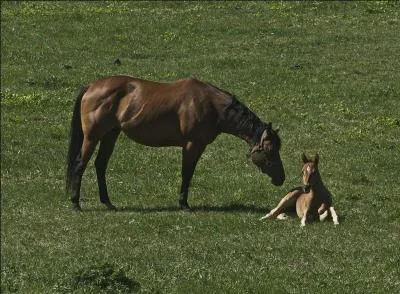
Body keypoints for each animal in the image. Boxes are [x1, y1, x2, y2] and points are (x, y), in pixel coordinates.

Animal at [65, 74, 284, 210]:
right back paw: (76, 203)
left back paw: (108, 202)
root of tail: (91, 86)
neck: (211, 105)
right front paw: (184, 204)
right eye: (269, 150)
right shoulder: (192, 145)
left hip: (110, 135)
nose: (281, 178)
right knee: (80, 164)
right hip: (92, 137)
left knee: (100, 165)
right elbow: (187, 174)